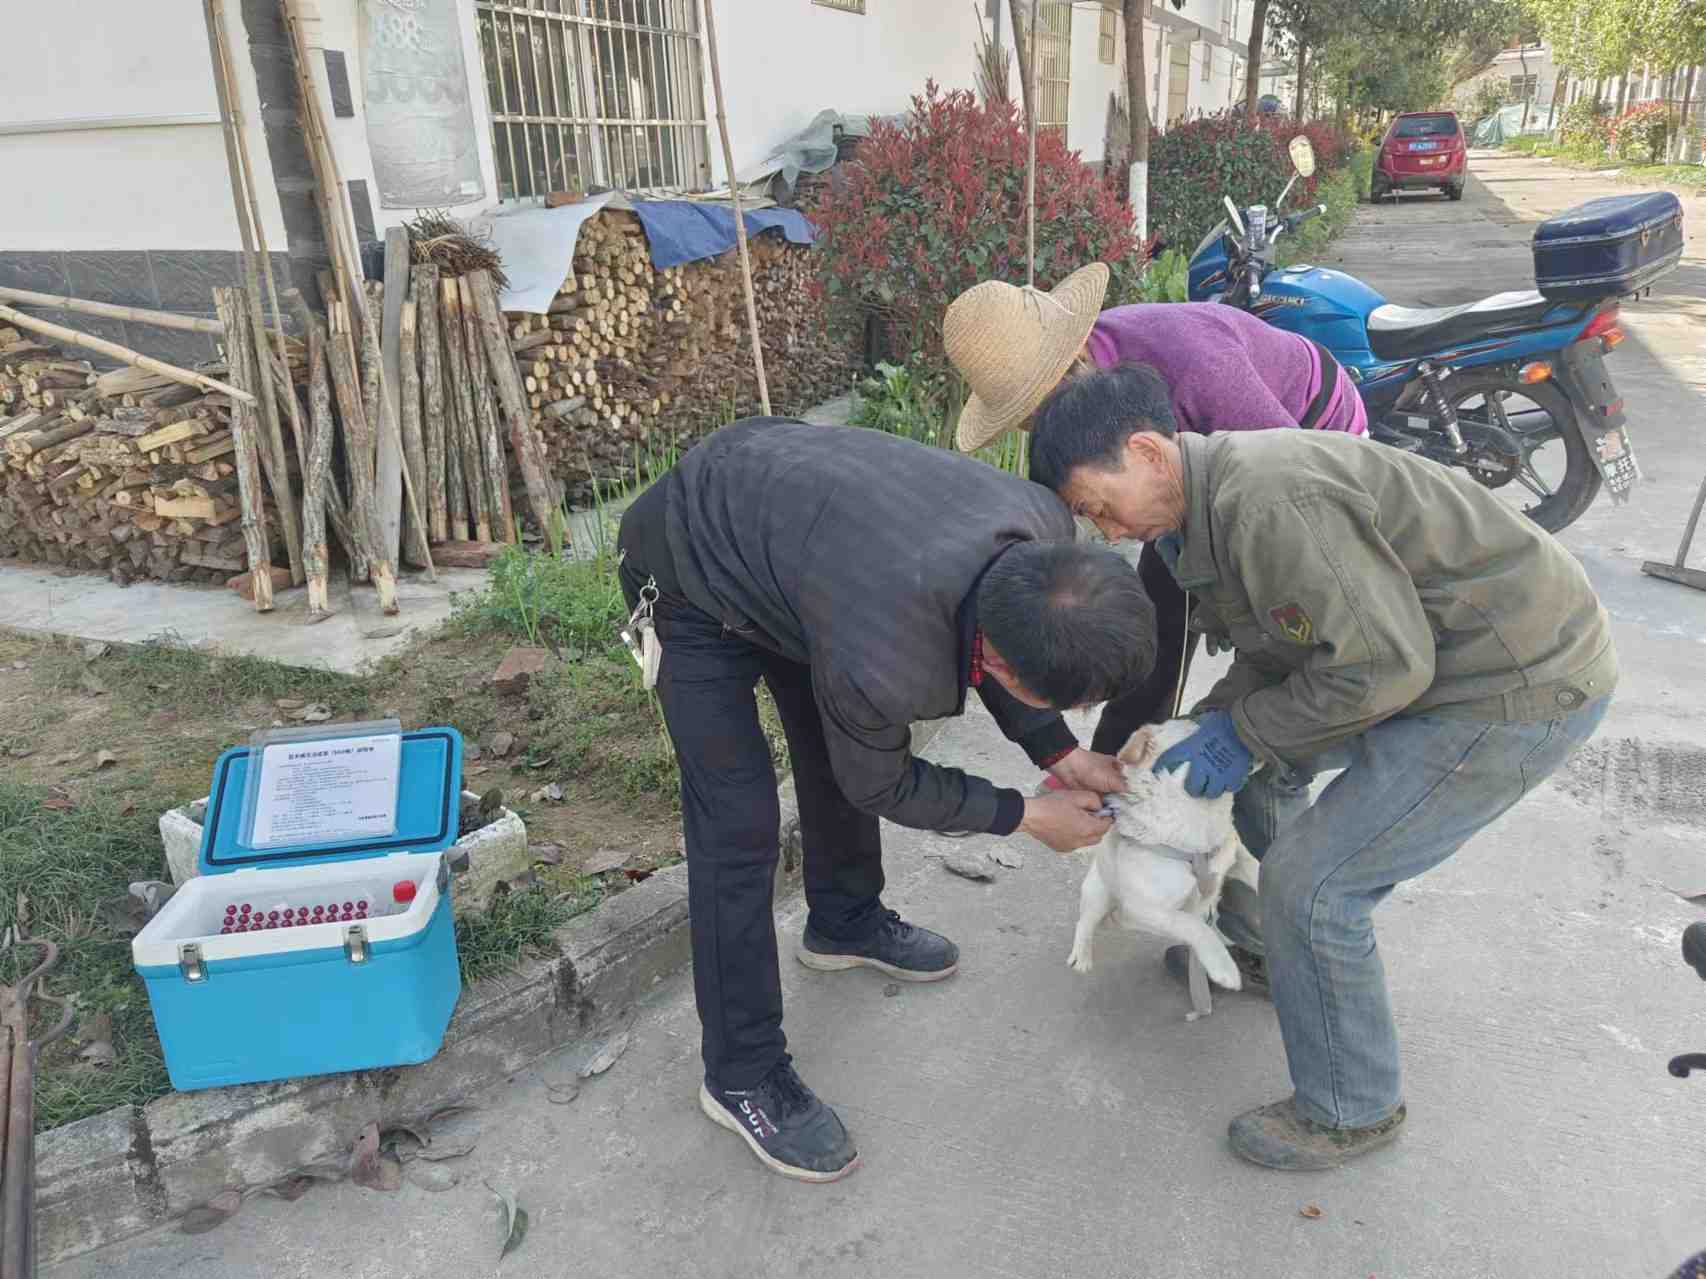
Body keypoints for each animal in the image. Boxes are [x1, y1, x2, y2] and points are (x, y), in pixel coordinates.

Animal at [1066, 720, 1260, 1019]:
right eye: (1200, 724)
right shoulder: (1140, 910)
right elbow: (1192, 924)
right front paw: (1223, 967)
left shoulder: (1236, 856)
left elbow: (1260, 869)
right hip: (1097, 893)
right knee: (1085, 923)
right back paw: (1082, 956)